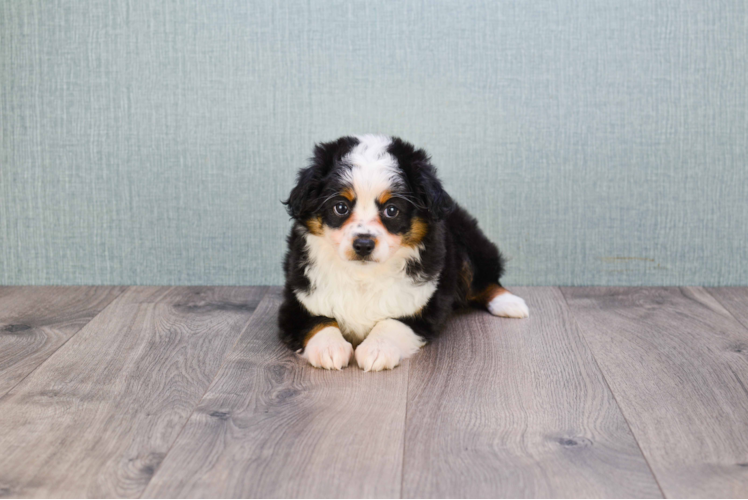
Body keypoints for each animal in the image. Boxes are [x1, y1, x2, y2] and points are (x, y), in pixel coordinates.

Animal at [278, 134, 528, 372]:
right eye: (340, 207)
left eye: (391, 210)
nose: (363, 244)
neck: (363, 276)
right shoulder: (297, 299)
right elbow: (318, 321)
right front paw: (329, 348)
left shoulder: (424, 304)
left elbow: (393, 322)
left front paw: (377, 350)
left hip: (468, 242)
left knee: (484, 279)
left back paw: (509, 303)